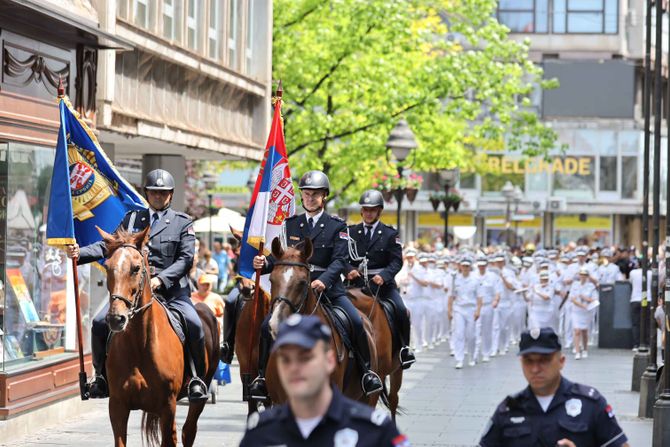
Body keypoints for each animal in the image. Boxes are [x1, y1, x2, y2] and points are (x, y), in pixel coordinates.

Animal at [98, 229, 219, 446]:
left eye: (136, 268)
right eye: (108, 266)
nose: (116, 318)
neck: (140, 345)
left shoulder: (168, 406)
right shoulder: (117, 405)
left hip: (200, 395)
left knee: (188, 431)